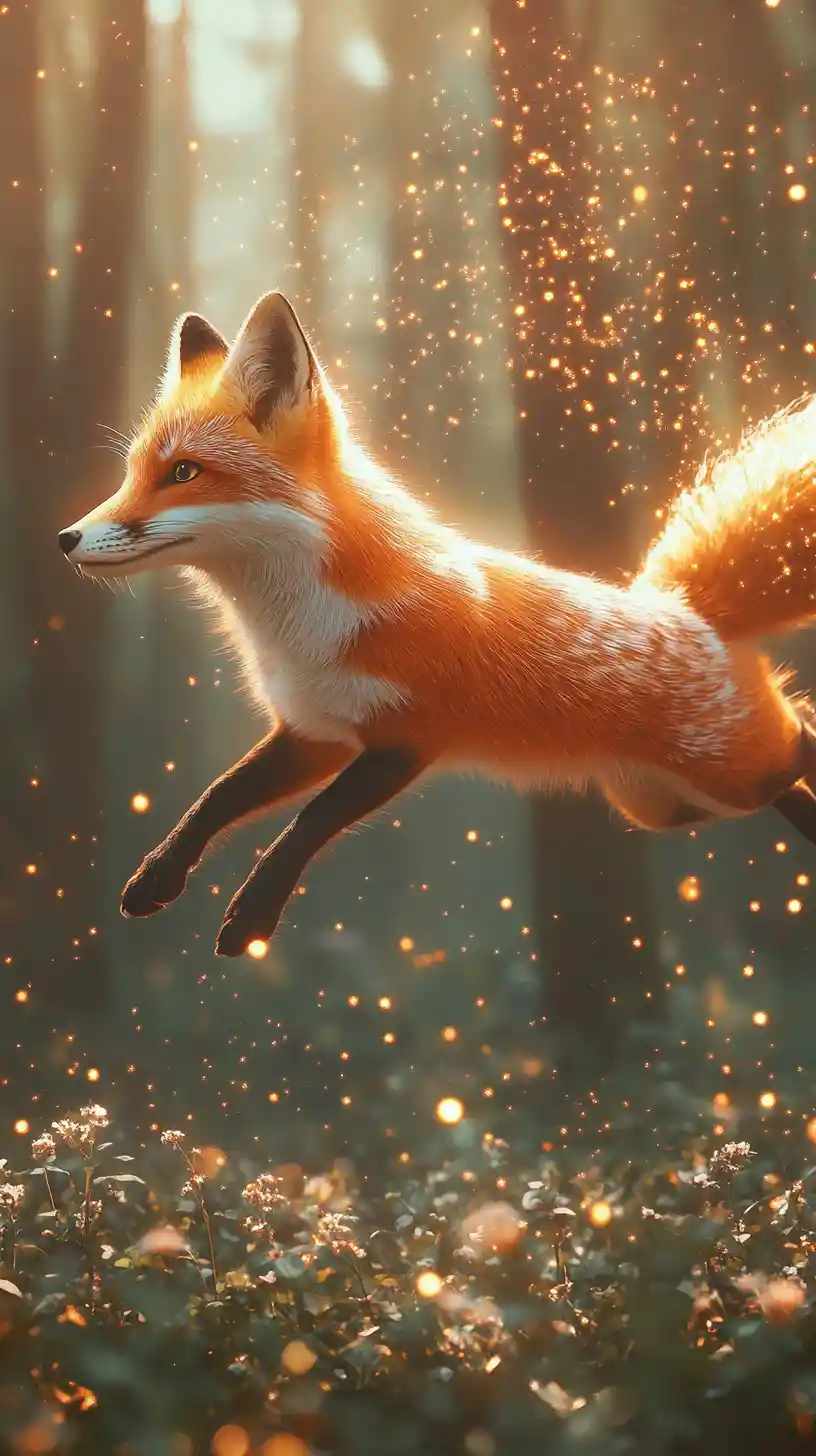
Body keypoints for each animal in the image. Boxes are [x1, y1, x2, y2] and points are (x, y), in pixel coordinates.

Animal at [58, 289, 816, 957]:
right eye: (134, 473)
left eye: (184, 473)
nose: (66, 538)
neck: (301, 631)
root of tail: (690, 610)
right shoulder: (314, 733)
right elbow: (217, 797)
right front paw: (158, 876)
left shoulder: (408, 737)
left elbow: (307, 822)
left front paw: (251, 918)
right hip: (661, 805)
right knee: (786, 781)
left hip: (729, 775)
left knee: (800, 740)